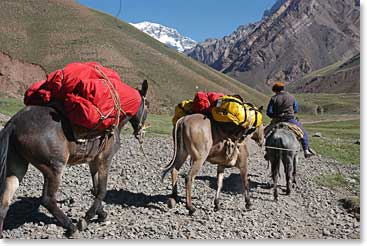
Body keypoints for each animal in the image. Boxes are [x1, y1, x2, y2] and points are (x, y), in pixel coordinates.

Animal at [0, 80, 150, 237]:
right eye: (148, 105)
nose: (140, 132)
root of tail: (14, 123)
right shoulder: (105, 160)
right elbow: (102, 190)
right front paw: (87, 218)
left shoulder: (93, 162)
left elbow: (96, 189)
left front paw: (101, 214)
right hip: (54, 169)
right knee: (48, 200)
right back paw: (71, 227)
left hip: (17, 168)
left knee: (4, 203)